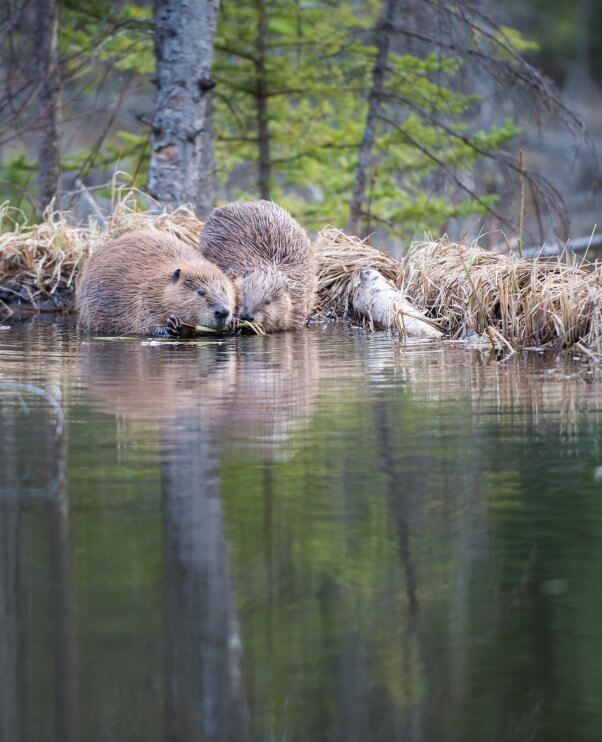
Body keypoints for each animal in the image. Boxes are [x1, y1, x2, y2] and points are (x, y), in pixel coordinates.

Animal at [79, 228, 237, 336]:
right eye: (201, 292)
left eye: (224, 290)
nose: (222, 312)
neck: (161, 287)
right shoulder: (144, 296)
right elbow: (145, 324)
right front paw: (171, 324)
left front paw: (234, 322)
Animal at [199, 201, 316, 334]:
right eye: (243, 293)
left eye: (268, 301)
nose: (247, 316)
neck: (271, 264)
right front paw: (234, 321)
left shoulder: (301, 297)